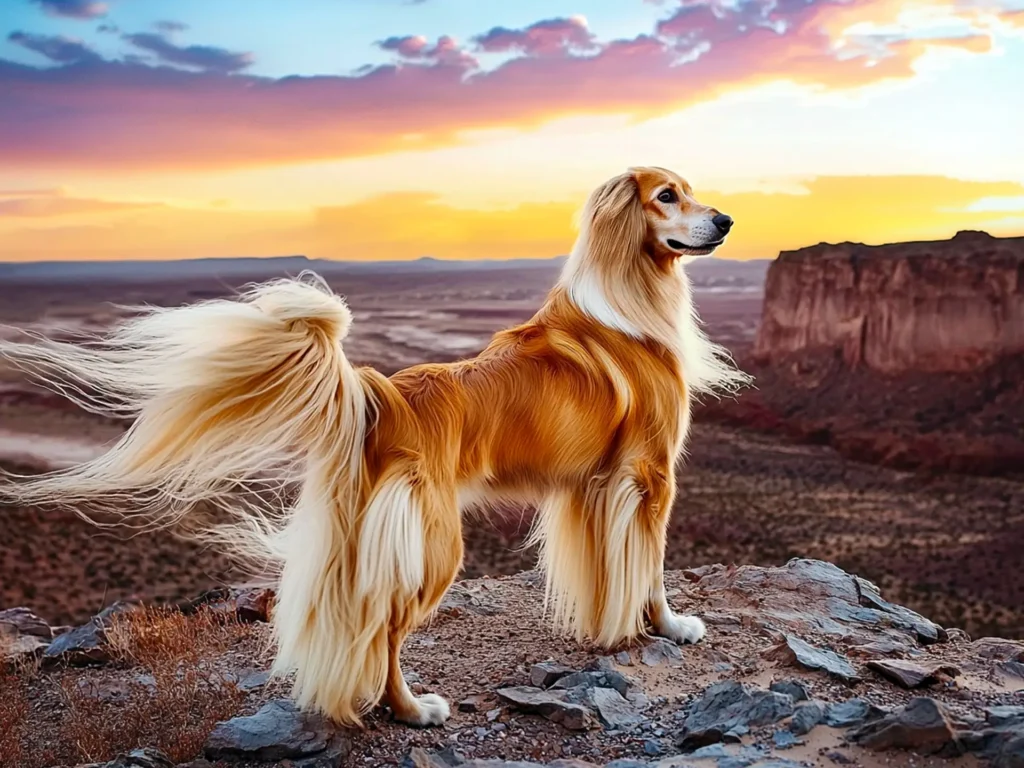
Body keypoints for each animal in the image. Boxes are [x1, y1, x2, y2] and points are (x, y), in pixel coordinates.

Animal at [2, 166, 753, 729]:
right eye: (667, 196)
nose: (725, 221)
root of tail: (381, 397)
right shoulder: (650, 474)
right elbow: (651, 567)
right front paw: (669, 625)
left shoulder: (593, 487)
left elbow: (607, 570)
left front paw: (609, 630)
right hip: (435, 546)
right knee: (384, 630)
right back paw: (412, 709)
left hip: (359, 538)